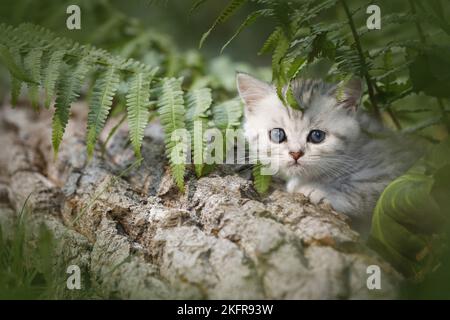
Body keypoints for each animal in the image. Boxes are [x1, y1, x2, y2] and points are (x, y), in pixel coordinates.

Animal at [237, 73, 420, 232]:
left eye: (317, 136)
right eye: (277, 134)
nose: (296, 153)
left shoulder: (395, 163)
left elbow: (367, 186)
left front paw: (319, 190)